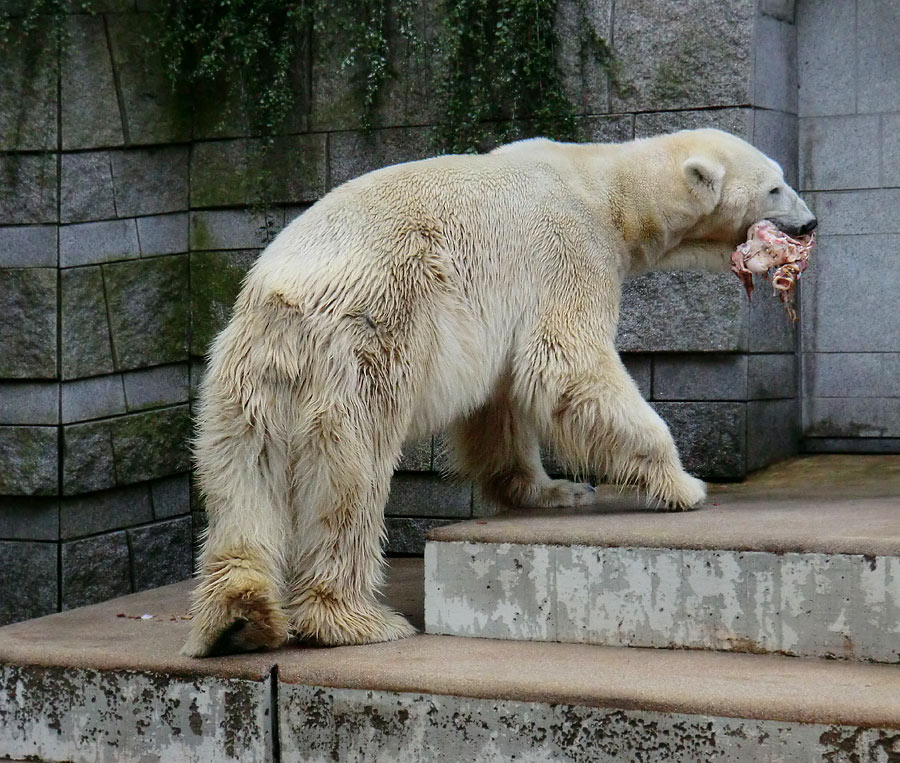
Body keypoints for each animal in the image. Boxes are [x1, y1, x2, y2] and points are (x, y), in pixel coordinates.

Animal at [181, 127, 816, 656]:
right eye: (775, 186)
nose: (810, 224)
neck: (606, 187)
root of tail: (283, 303)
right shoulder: (568, 252)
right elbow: (567, 365)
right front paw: (683, 484)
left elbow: (502, 401)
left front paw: (552, 489)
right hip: (363, 347)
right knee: (349, 481)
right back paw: (358, 621)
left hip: (241, 385)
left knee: (242, 484)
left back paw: (237, 619)